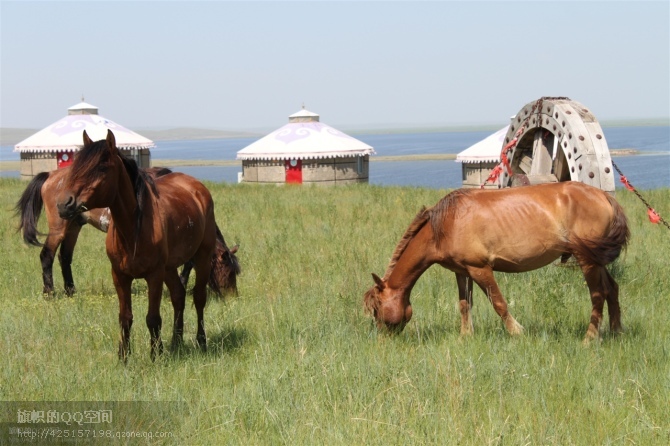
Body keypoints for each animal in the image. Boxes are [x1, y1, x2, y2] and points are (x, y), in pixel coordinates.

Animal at [56, 131, 238, 360]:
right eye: (76, 164)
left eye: (102, 167)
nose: (64, 204)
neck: (133, 229)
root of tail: (196, 187)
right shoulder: (120, 276)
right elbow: (125, 317)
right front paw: (123, 357)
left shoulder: (154, 275)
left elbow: (153, 317)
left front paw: (156, 354)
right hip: (169, 268)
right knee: (179, 296)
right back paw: (176, 342)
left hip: (201, 258)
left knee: (198, 298)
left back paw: (201, 341)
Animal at [364, 181, 632, 342]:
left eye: (377, 309)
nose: (382, 339)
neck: (446, 223)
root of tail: (603, 196)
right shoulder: (462, 271)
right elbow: (464, 304)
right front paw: (466, 336)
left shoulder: (480, 269)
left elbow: (499, 303)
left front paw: (517, 332)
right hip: (597, 260)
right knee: (612, 289)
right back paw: (617, 331)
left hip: (587, 261)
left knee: (597, 295)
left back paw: (589, 338)